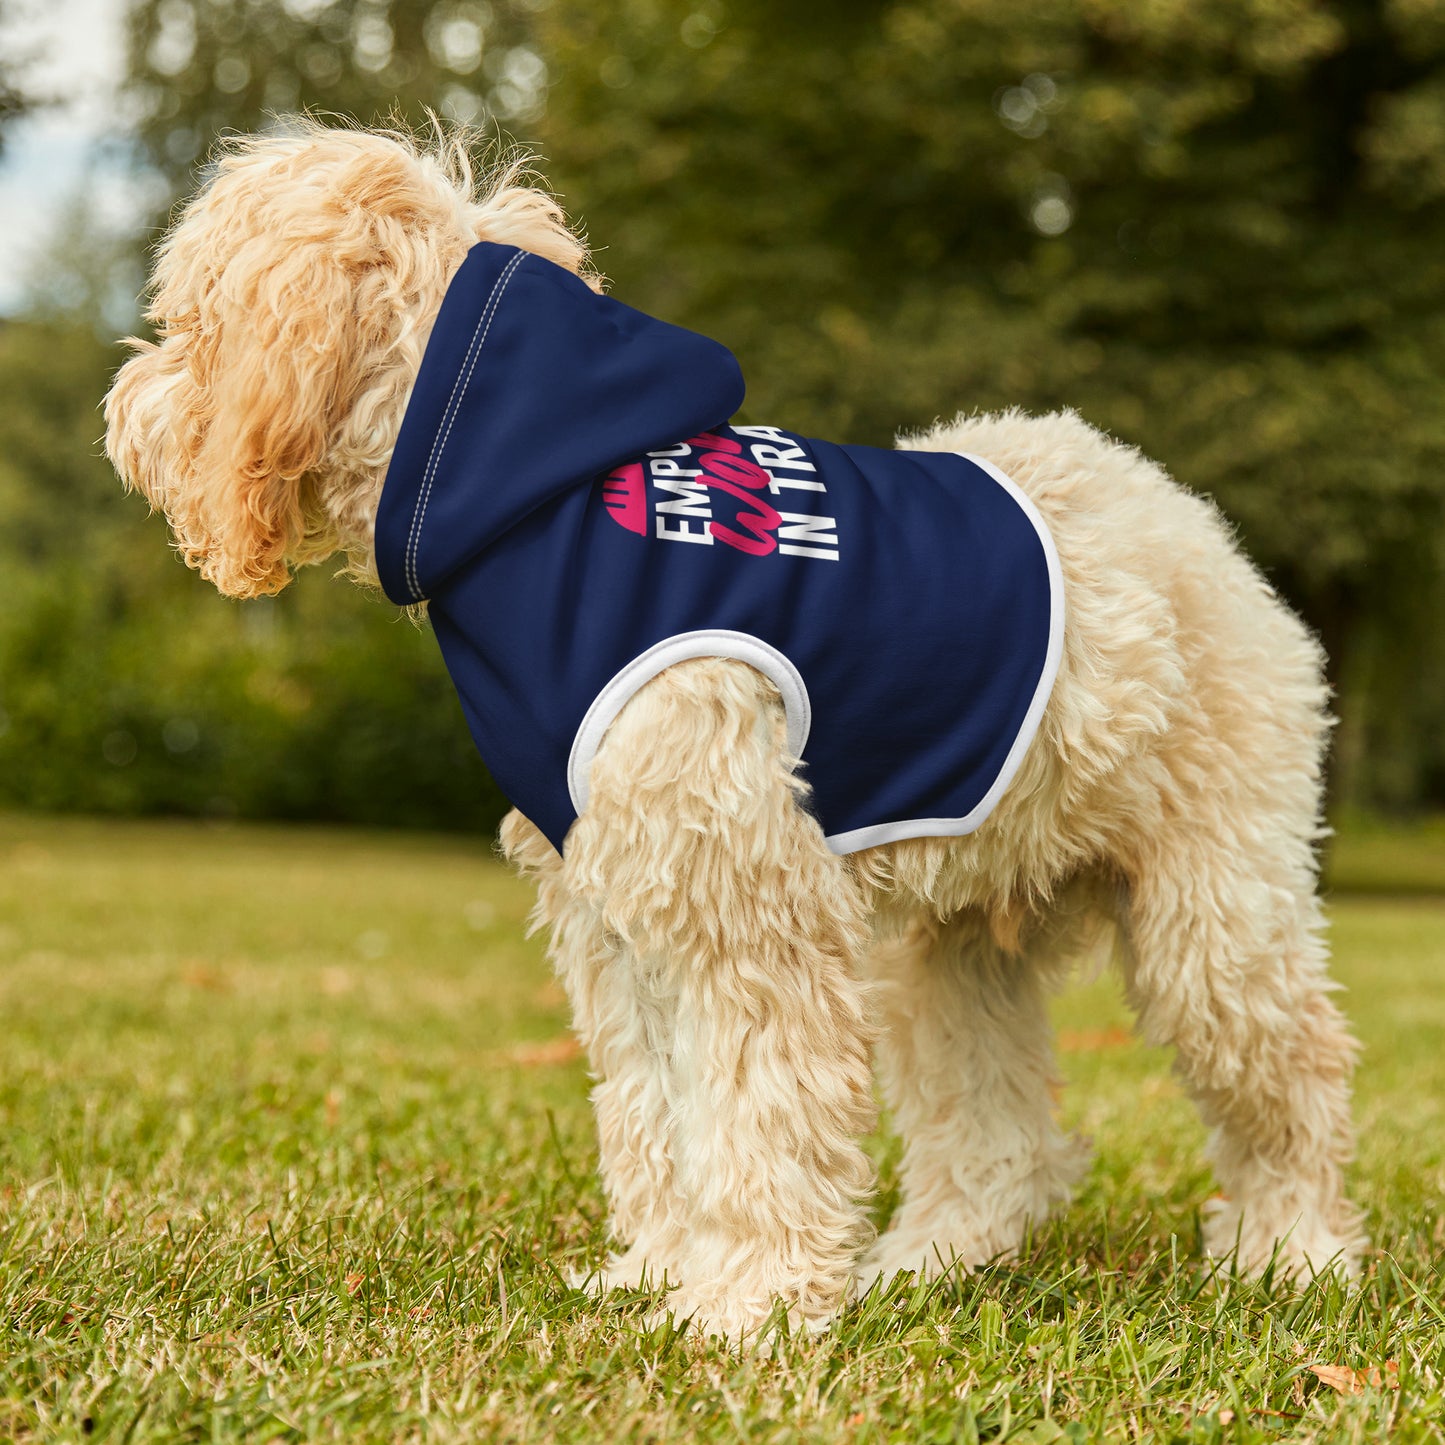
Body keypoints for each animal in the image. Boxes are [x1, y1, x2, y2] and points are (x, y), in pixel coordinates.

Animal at [104, 124, 1364, 1340]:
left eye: (191, 319)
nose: (123, 406)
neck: (538, 501)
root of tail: (1188, 520)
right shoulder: (618, 909)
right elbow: (656, 1110)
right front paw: (662, 1273)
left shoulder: (742, 904)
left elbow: (758, 1112)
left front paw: (747, 1304)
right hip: (950, 948)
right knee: (995, 1133)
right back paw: (930, 1260)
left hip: (1212, 916)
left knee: (1293, 1076)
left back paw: (1290, 1252)